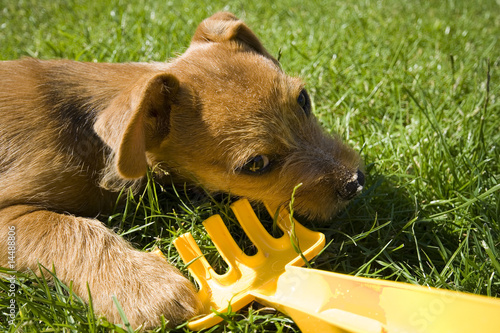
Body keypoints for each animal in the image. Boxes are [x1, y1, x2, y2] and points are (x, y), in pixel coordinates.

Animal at [0, 12, 362, 326]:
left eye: (303, 99)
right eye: (256, 164)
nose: (355, 182)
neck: (88, 140)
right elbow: (66, 227)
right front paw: (146, 290)